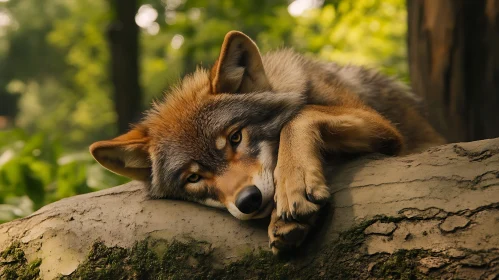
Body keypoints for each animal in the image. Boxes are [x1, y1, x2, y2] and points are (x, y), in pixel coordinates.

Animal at [90, 30, 446, 254]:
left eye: (235, 137)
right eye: (193, 178)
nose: (248, 200)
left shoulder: (386, 131)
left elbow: (298, 116)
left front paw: (294, 186)